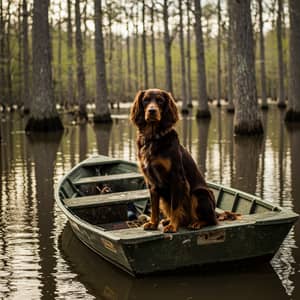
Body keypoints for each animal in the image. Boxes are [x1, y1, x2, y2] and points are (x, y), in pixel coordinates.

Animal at [130, 88, 217, 233]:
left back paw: (196, 223)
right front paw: (153, 223)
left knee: (212, 220)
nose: (152, 111)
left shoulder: (176, 178)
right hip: (166, 199)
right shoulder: (151, 182)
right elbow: (154, 207)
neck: (153, 138)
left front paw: (172, 226)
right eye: (145, 100)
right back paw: (168, 220)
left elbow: (175, 206)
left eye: (160, 100)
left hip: (199, 194)